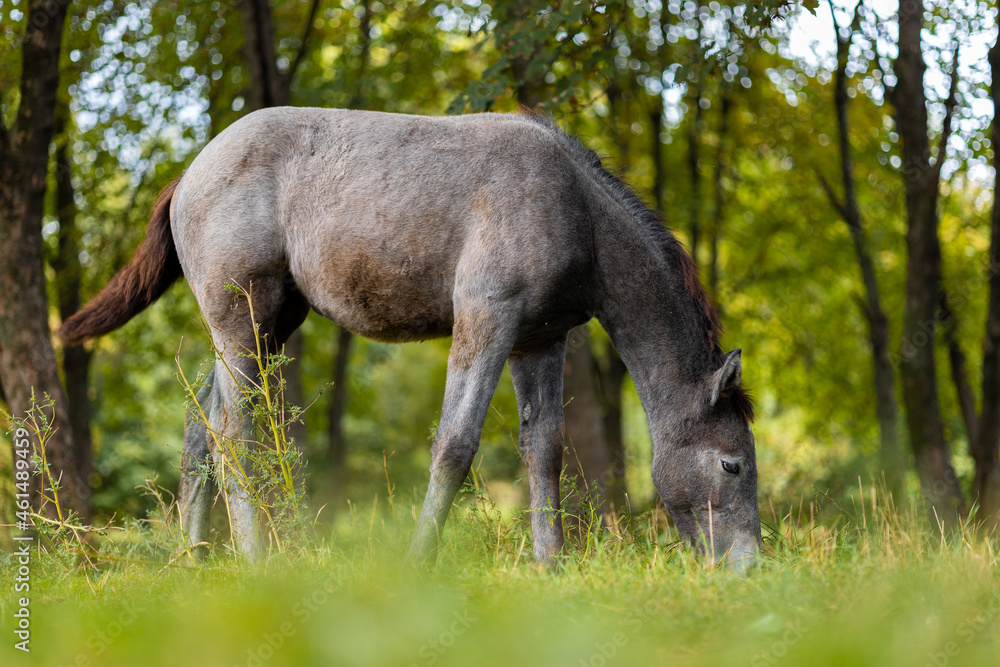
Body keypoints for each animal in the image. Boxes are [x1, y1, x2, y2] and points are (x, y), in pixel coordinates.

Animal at [60, 108, 756, 568]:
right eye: (732, 463)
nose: (749, 569)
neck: (573, 208)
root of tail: (188, 173)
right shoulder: (485, 319)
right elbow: (454, 444)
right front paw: (420, 561)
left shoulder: (539, 340)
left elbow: (544, 448)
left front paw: (550, 566)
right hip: (241, 319)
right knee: (233, 432)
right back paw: (255, 560)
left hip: (272, 324)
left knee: (199, 422)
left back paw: (195, 558)